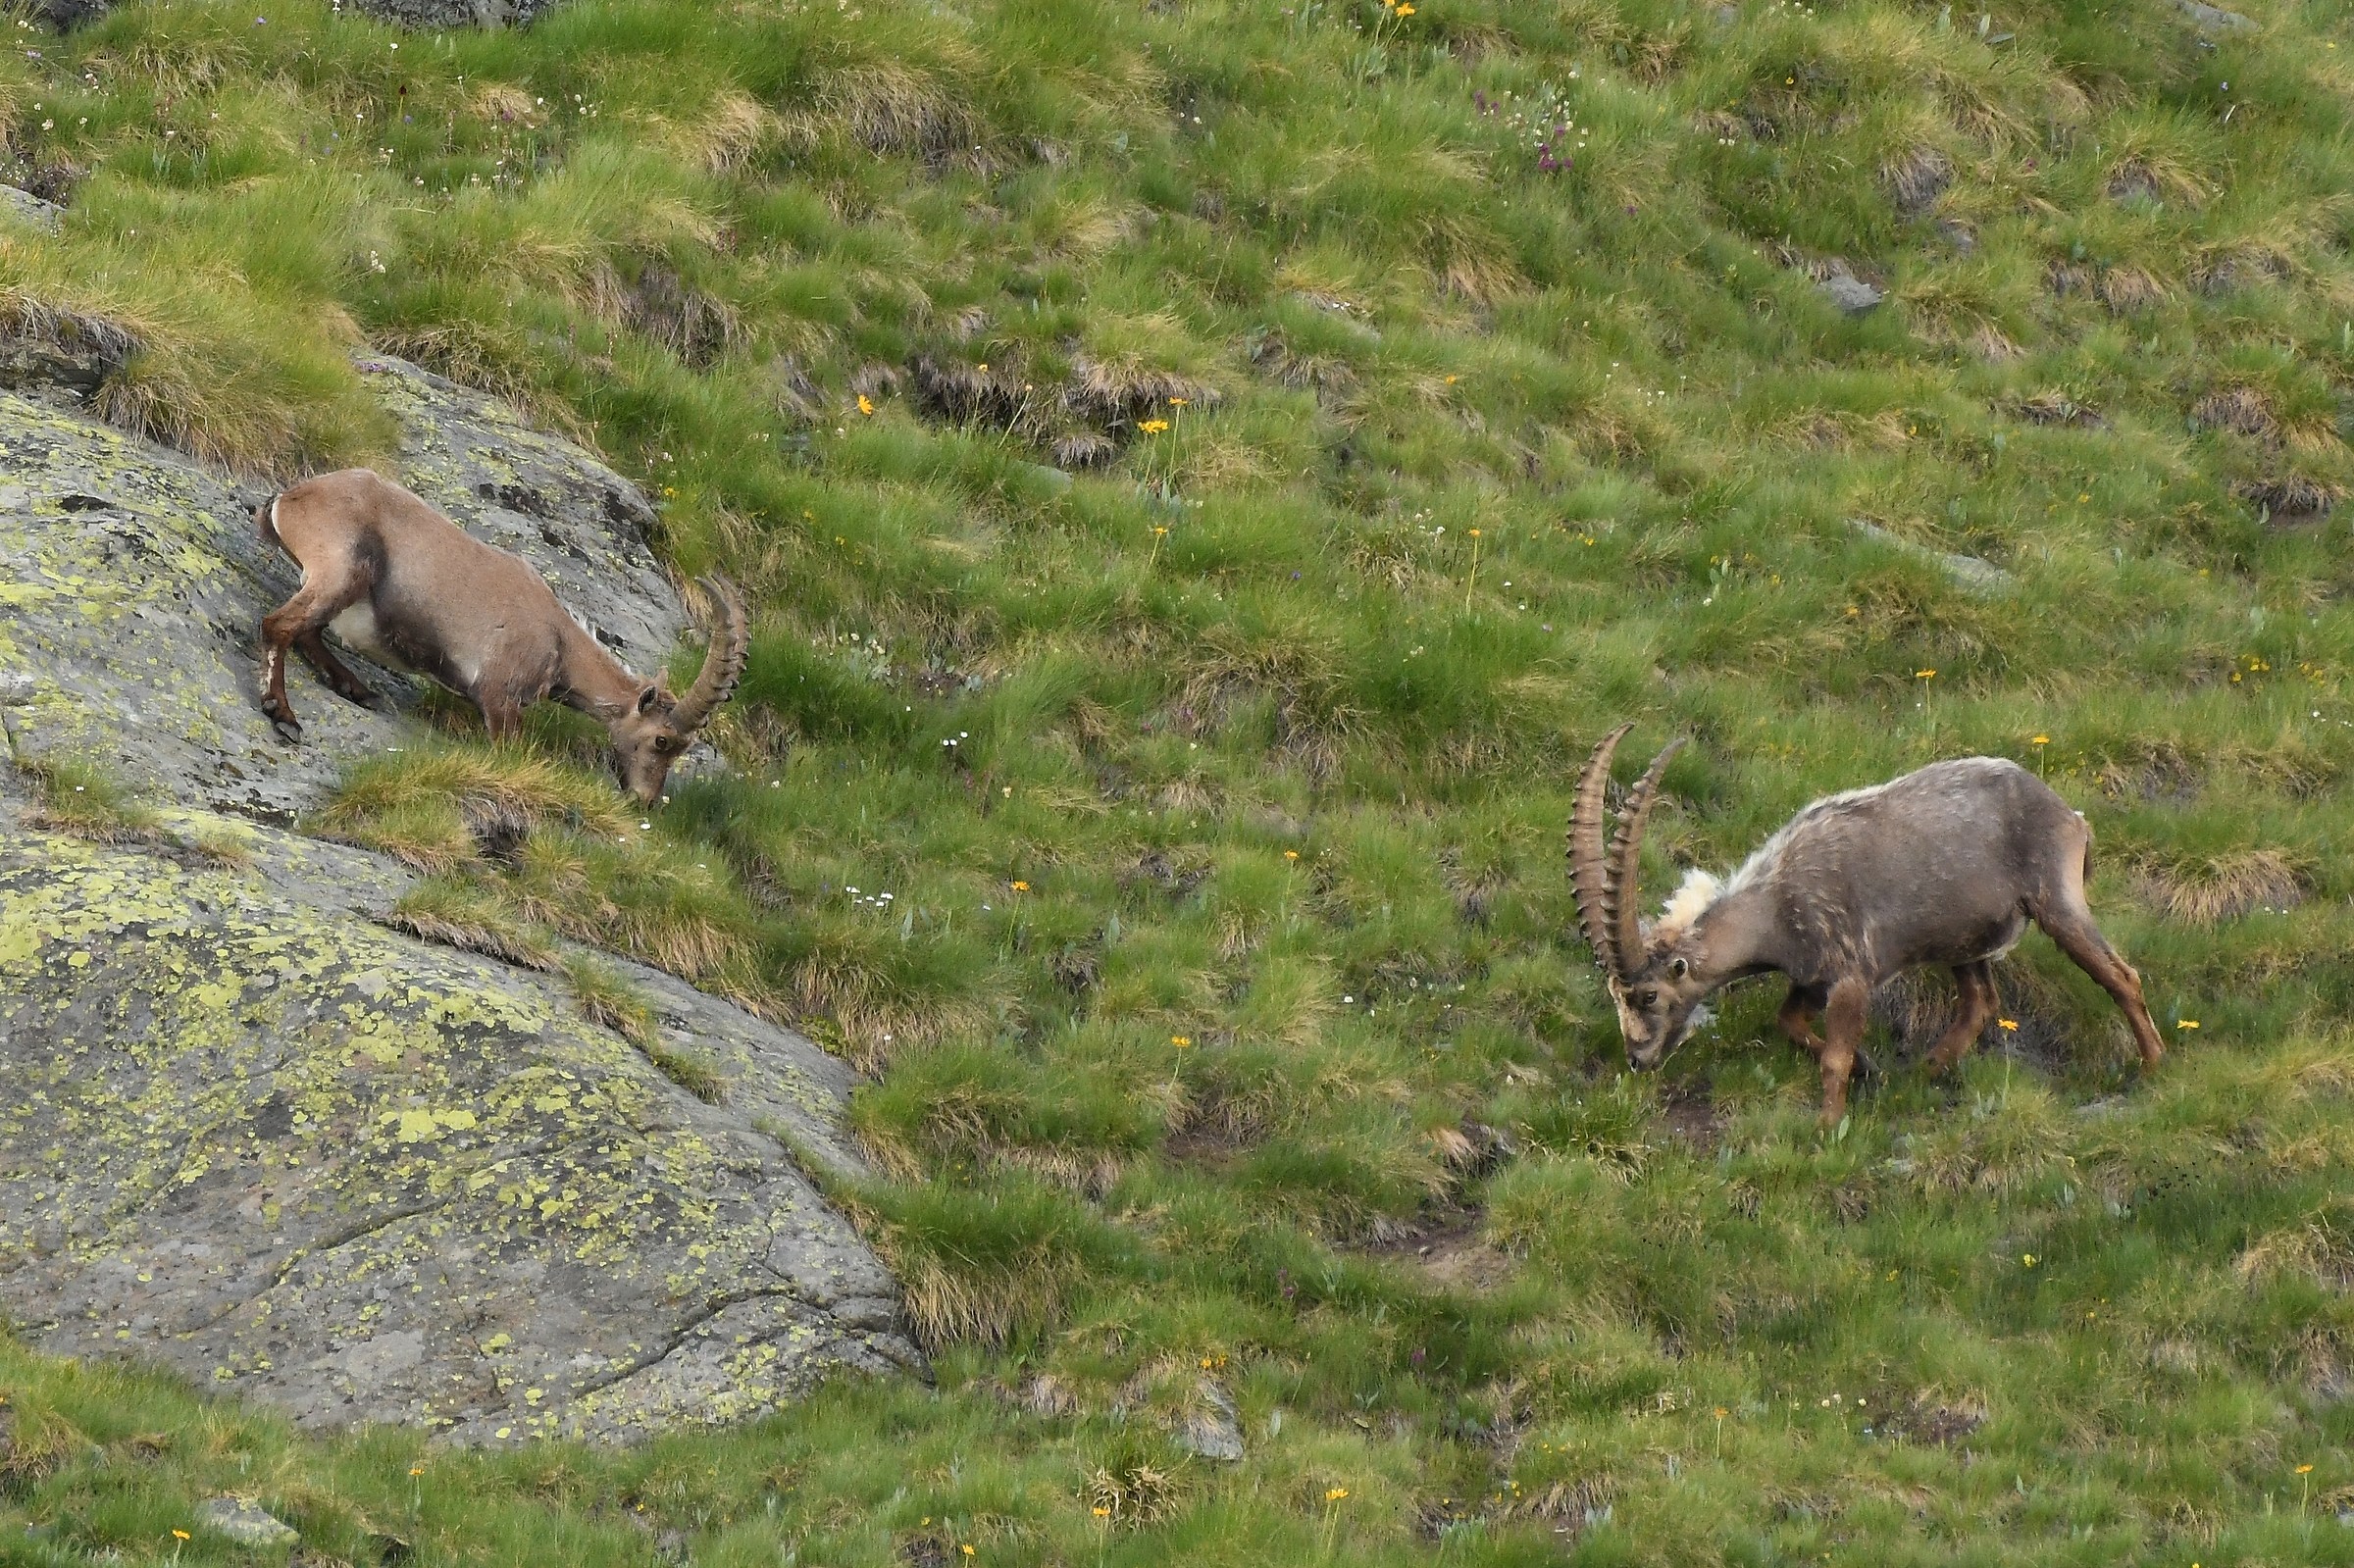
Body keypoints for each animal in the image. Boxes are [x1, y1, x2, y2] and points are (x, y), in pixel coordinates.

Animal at [254, 468, 749, 805]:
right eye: (662, 740)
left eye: (685, 747)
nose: (643, 800)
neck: (559, 642)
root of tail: (290, 499)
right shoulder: (498, 696)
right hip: (343, 569)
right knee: (279, 625)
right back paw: (284, 715)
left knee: (308, 631)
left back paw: (354, 687)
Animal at [1568, 725, 2166, 1125]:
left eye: (1648, 995)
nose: (1637, 1059)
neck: (1776, 905)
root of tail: (2071, 817)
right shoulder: (1810, 978)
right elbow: (1788, 1023)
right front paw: (1868, 1069)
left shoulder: (1851, 977)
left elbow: (1832, 1057)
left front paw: (1827, 1128)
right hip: (1964, 941)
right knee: (1980, 1003)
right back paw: (1923, 1073)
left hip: (2055, 902)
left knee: (2122, 976)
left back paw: (2155, 1067)